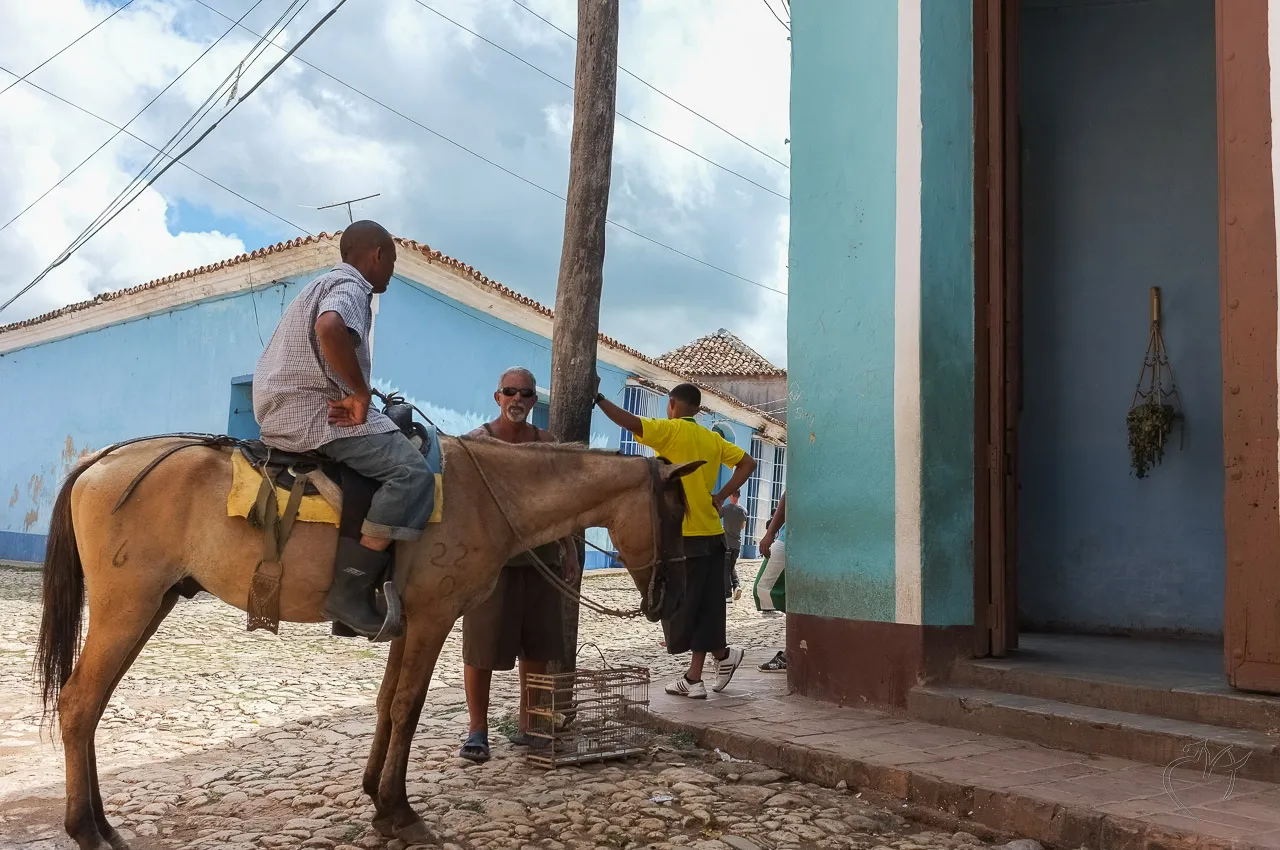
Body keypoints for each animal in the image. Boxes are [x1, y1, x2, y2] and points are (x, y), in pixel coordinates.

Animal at [34, 433, 699, 850]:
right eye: (674, 515)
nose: (671, 601)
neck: (489, 496)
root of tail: (96, 465)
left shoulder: (405, 622)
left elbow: (385, 704)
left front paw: (375, 796)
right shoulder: (433, 619)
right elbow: (407, 707)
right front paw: (399, 812)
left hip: (152, 605)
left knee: (90, 706)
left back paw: (101, 823)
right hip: (128, 607)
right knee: (79, 703)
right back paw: (86, 829)